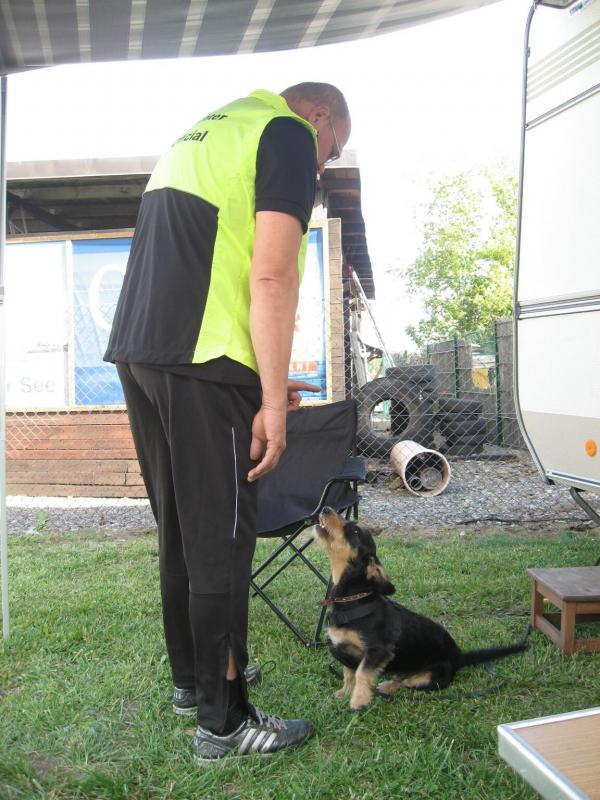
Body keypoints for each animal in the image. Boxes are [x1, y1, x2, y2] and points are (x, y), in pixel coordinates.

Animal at [313, 507, 528, 711]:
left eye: (354, 530)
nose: (325, 509)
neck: (352, 600)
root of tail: (458, 657)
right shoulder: (345, 651)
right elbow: (348, 673)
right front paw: (344, 692)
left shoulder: (378, 651)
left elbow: (361, 674)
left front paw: (358, 701)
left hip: (431, 677)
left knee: (408, 683)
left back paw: (387, 687)